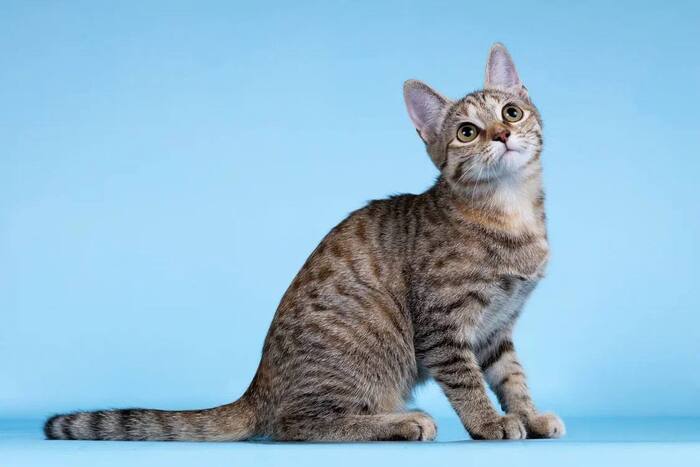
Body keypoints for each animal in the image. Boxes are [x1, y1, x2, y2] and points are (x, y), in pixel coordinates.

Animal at [45, 43, 564, 442]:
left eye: (511, 112)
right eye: (466, 132)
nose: (502, 133)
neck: (509, 211)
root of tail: (257, 389)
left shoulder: (497, 328)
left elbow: (511, 376)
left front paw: (528, 415)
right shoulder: (442, 327)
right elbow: (467, 381)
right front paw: (489, 423)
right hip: (363, 358)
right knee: (298, 426)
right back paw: (399, 422)